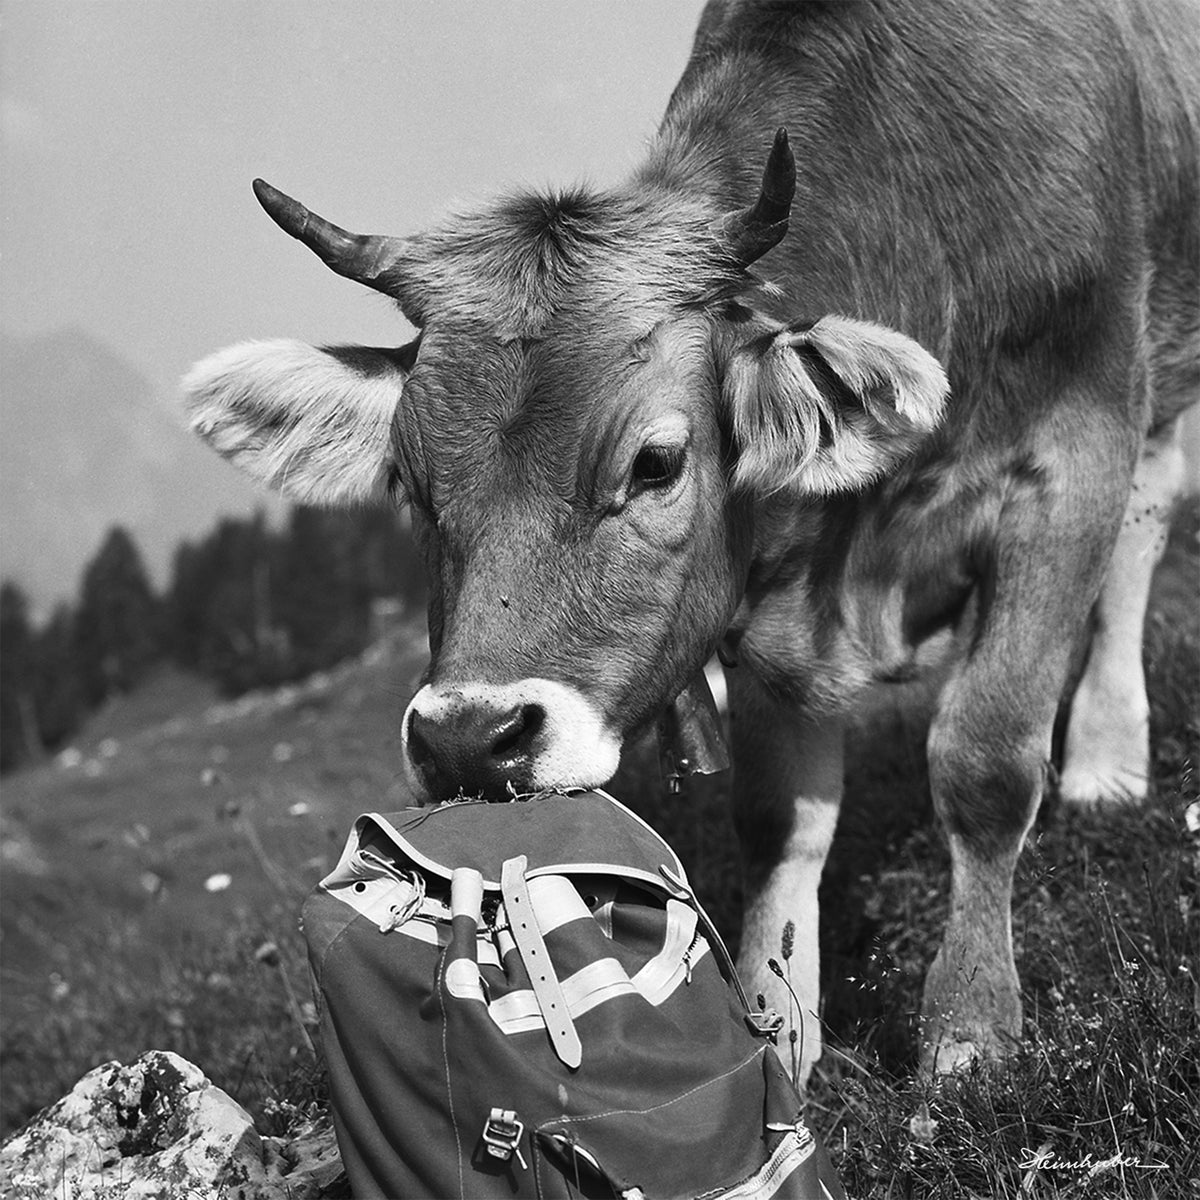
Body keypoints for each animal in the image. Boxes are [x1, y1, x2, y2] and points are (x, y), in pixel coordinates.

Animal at [183, 0, 1199, 1084]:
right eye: (411, 486)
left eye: (657, 463)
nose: (467, 739)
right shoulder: (764, 586)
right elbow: (778, 815)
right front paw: (773, 1016)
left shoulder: (1073, 448)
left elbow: (986, 759)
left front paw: (969, 1026)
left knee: (1145, 524)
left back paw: (1104, 760)